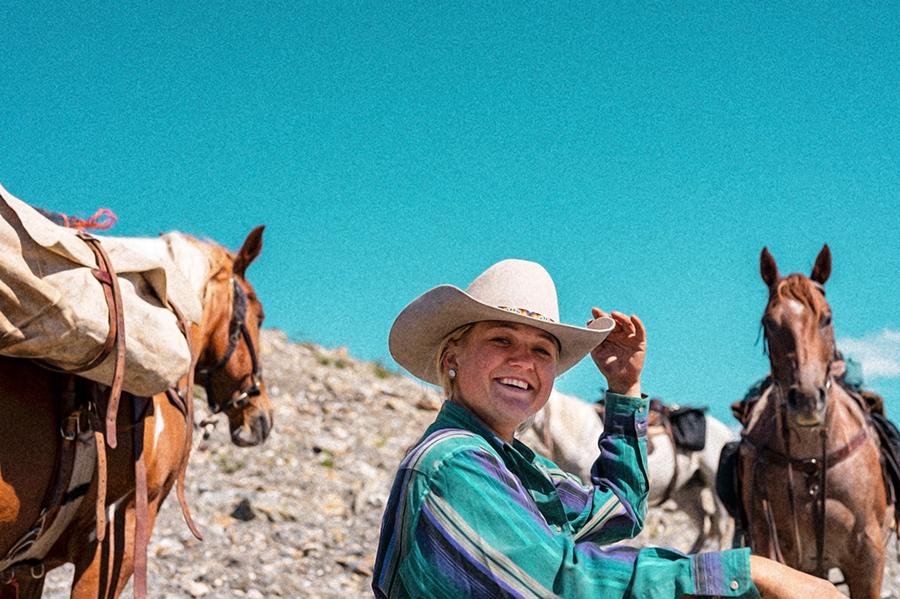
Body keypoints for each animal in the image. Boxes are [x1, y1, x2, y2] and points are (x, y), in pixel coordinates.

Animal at [740, 245, 892, 599]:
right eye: (769, 322)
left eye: (826, 318)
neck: (809, 460)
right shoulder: (772, 549)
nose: (808, 400)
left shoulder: (868, 558)